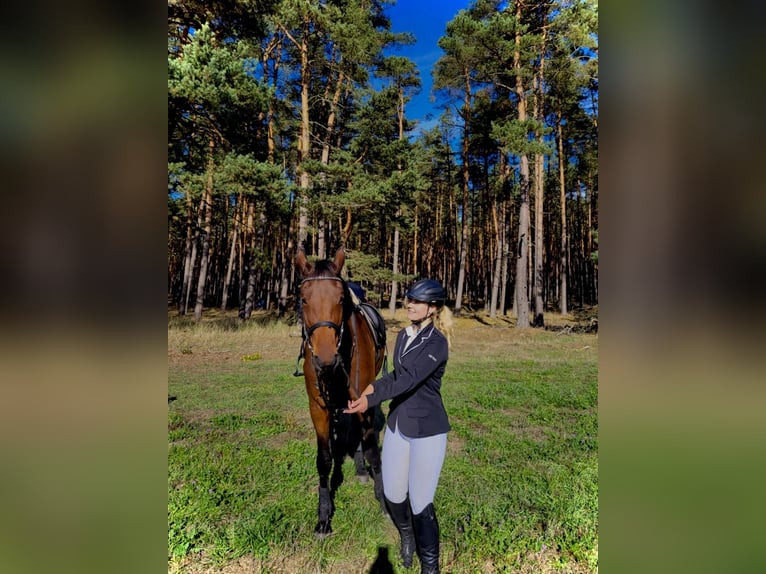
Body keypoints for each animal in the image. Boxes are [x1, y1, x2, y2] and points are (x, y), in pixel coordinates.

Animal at [294, 246, 387, 537]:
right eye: (303, 300)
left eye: (340, 299)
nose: (325, 358)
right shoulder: (318, 408)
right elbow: (324, 460)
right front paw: (323, 517)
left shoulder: (364, 401)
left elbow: (373, 451)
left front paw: (383, 500)